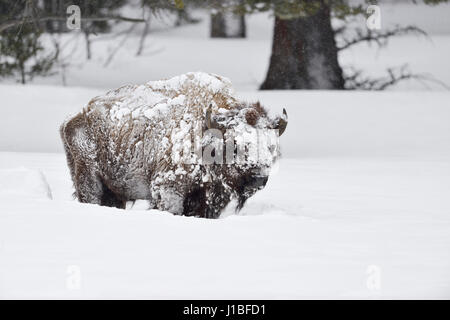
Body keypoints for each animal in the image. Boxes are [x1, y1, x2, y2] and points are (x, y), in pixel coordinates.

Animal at [59, 72, 286, 218]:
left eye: (270, 148)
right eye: (235, 145)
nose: (258, 179)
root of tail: (72, 119)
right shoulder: (168, 188)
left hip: (114, 190)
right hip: (89, 177)